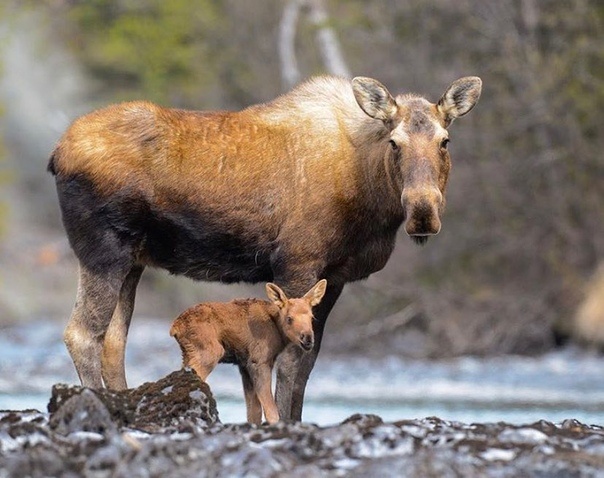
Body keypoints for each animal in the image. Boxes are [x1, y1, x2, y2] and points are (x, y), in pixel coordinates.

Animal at [170, 280, 326, 422]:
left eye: (312, 317)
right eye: (289, 318)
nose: (308, 338)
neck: (277, 330)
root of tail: (175, 327)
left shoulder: (244, 365)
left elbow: (253, 412)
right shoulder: (259, 361)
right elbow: (270, 411)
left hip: (188, 353)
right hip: (211, 352)